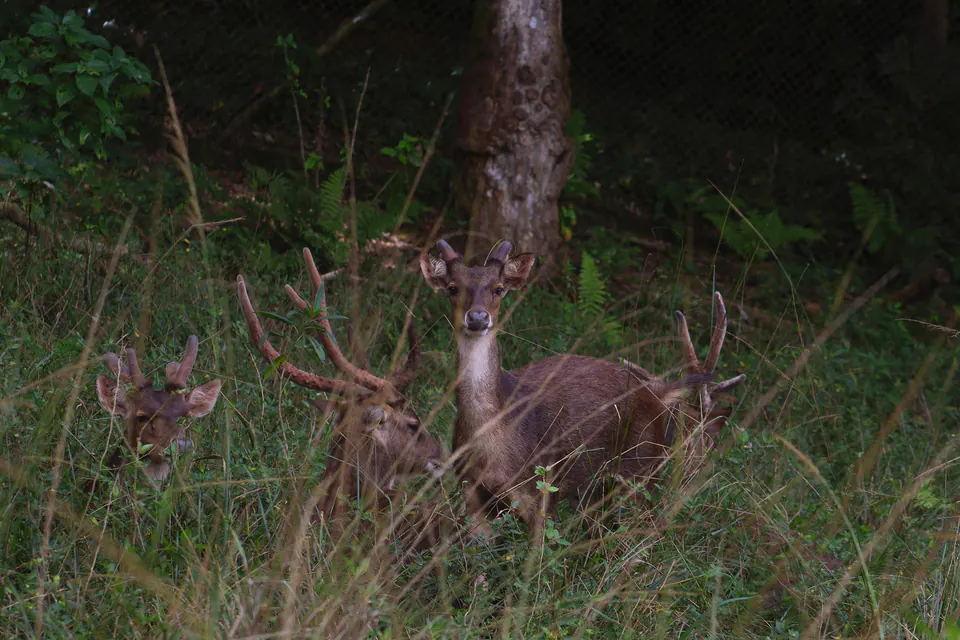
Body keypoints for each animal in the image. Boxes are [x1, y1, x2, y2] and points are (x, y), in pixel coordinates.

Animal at [419, 239, 746, 538]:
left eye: (499, 289)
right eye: (452, 287)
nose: (477, 317)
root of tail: (655, 393)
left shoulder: (541, 487)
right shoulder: (469, 490)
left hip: (641, 470)